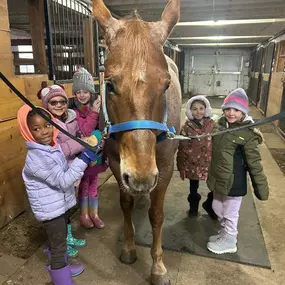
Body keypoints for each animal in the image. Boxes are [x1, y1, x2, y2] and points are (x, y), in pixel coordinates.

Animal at [92, 1, 182, 282]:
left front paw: (158, 267)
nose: (141, 177)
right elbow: (126, 204)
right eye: (109, 85)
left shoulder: (165, 168)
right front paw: (130, 249)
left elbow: (157, 215)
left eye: (166, 86)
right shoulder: (115, 163)